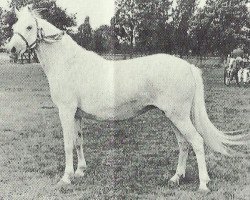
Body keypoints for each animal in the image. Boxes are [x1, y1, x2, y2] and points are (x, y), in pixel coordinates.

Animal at [5, 5, 250, 191]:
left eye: (29, 27)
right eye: (14, 27)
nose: (11, 49)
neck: (68, 63)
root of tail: (187, 66)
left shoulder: (65, 111)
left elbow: (67, 144)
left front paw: (65, 178)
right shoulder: (76, 115)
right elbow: (78, 142)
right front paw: (80, 172)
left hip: (178, 116)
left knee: (197, 142)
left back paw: (203, 185)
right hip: (173, 117)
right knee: (183, 144)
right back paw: (176, 178)